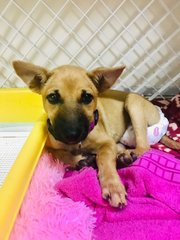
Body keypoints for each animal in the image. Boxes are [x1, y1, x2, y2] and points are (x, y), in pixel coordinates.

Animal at [12, 61, 180, 207]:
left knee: (144, 147)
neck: (78, 144)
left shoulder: (107, 142)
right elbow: (59, 154)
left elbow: (104, 159)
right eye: (52, 97)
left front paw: (113, 186)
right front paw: (79, 160)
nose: (72, 134)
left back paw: (127, 156)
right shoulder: (49, 145)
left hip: (133, 102)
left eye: (87, 97)